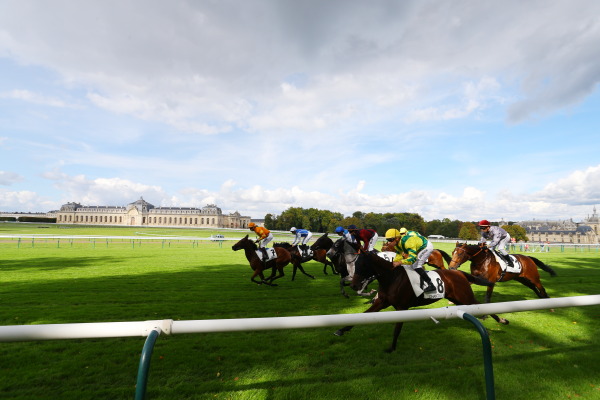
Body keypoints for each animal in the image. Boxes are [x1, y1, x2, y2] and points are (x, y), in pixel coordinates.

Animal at [332, 253, 506, 354]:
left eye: (363, 265)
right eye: (354, 265)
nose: (353, 285)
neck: (391, 277)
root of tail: (459, 273)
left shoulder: (402, 308)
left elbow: (397, 329)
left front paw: (391, 348)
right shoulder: (382, 302)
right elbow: (363, 315)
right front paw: (341, 330)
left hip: (464, 297)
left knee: (481, 305)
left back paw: (501, 320)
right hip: (458, 299)